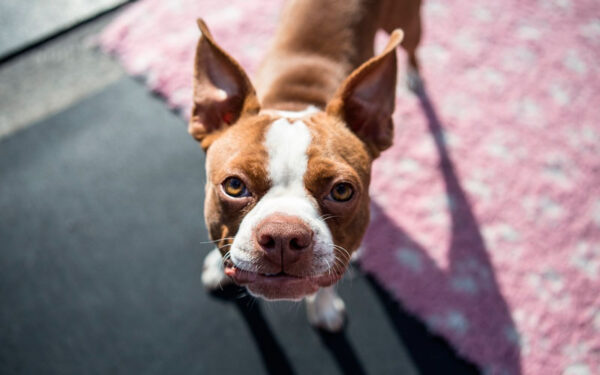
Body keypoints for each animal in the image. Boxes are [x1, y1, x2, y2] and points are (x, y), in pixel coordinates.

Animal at [191, 0, 422, 332]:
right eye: (234, 186)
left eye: (342, 191)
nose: (283, 236)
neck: (295, 103)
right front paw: (217, 266)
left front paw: (324, 308)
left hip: (409, 23)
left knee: (413, 49)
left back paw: (414, 75)